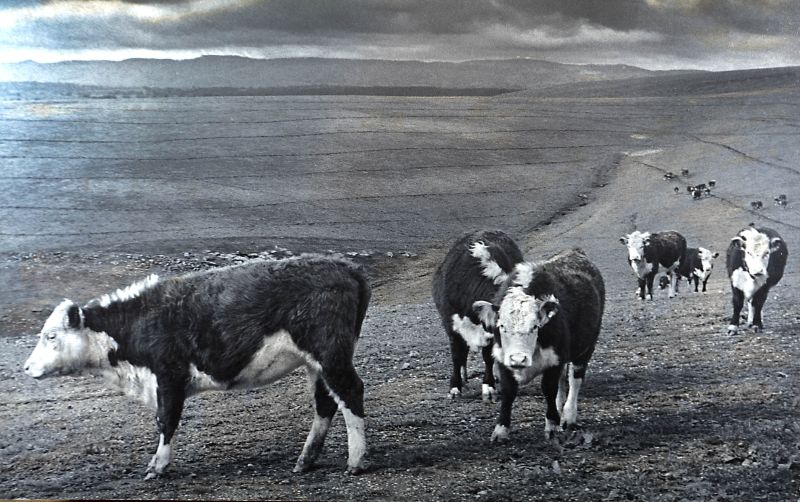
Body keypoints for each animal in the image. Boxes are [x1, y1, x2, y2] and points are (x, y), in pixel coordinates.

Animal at [23, 255, 371, 478]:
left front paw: (157, 466)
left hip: (330, 355)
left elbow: (166, 421)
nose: (26, 368)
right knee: (326, 403)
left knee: (351, 392)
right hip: (317, 363)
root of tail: (347, 267)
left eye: (51, 335)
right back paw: (305, 460)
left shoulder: (169, 376)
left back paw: (356, 460)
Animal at [472, 248, 604, 442]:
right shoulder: (503, 358)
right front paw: (501, 430)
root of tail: (574, 251)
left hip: (586, 348)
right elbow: (509, 391)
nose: (518, 359)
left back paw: (568, 416)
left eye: (535, 326)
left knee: (575, 380)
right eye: (501, 326)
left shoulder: (555, 359)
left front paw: (551, 426)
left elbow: (548, 389)